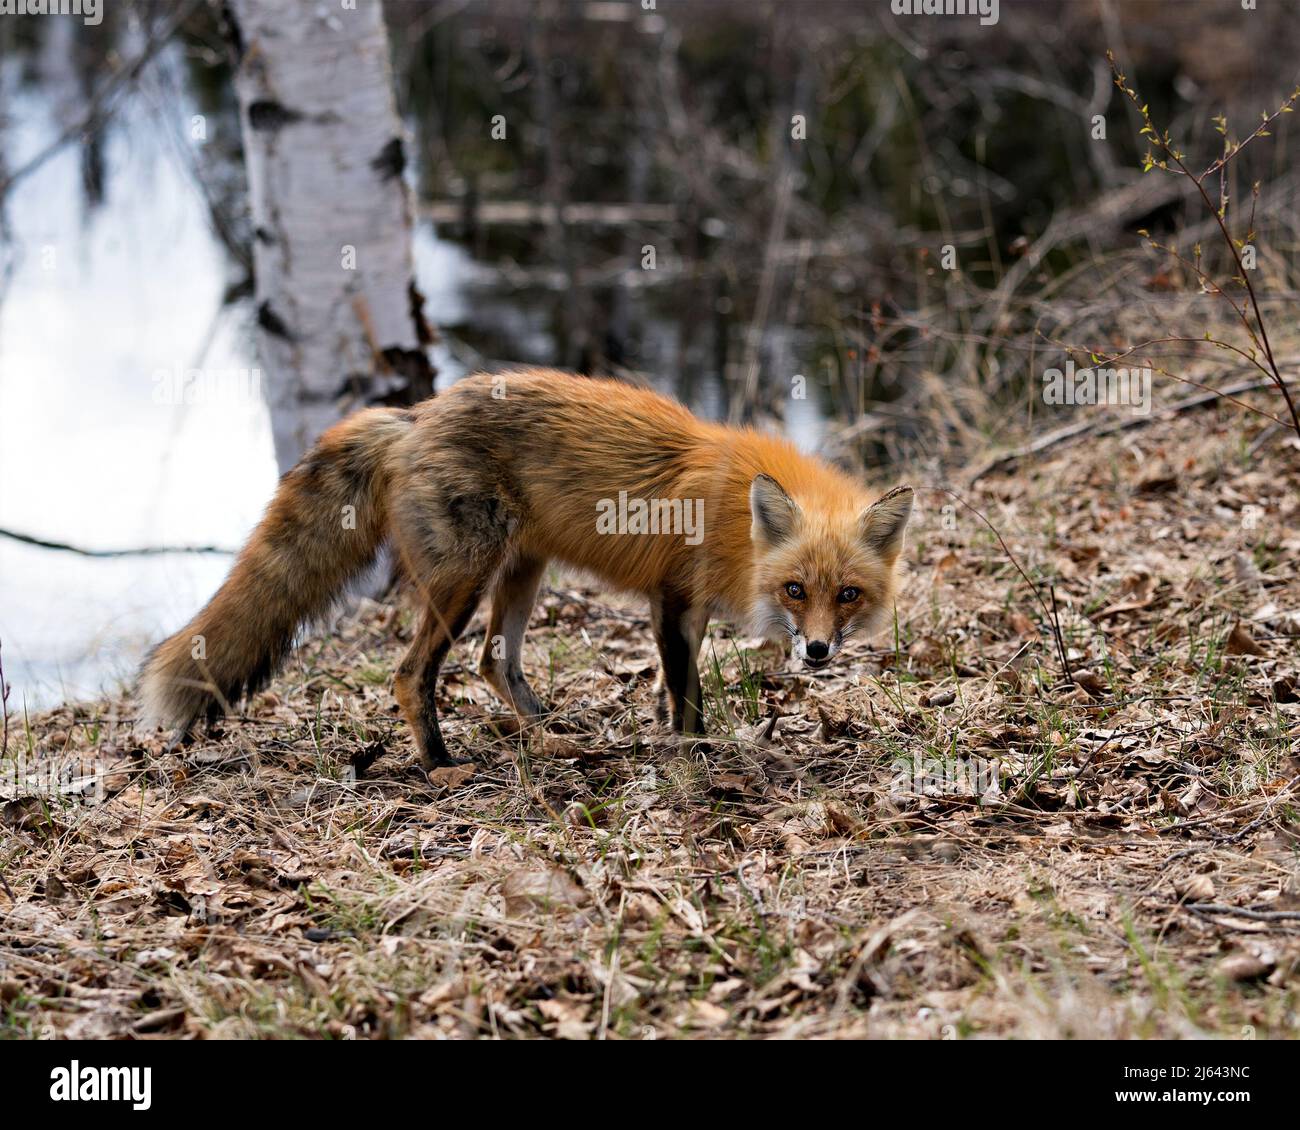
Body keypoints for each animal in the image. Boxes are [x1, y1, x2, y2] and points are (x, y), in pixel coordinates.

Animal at [139, 369, 915, 764]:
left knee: (493, 662)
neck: (732, 523)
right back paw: (441, 766)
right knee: (411, 674)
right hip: (464, 580)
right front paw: (695, 753)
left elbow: (678, 692)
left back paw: (547, 734)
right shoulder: (672, 598)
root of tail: (414, 415)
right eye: (795, 589)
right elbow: (685, 695)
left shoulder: (678, 607)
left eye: (847, 594)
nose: (817, 652)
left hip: (522, 571)